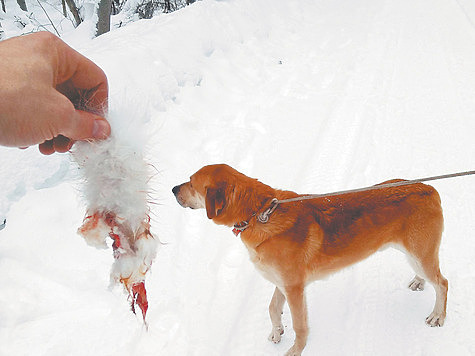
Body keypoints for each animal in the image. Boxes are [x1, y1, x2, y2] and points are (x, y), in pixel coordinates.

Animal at [173, 164, 448, 356]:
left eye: (191, 183)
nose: (173, 189)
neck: (258, 214)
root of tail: (429, 189)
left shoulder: (295, 288)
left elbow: (300, 326)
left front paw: (296, 349)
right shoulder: (282, 282)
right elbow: (272, 308)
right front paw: (277, 332)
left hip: (420, 255)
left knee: (442, 283)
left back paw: (438, 316)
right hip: (414, 254)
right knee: (430, 276)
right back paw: (419, 281)